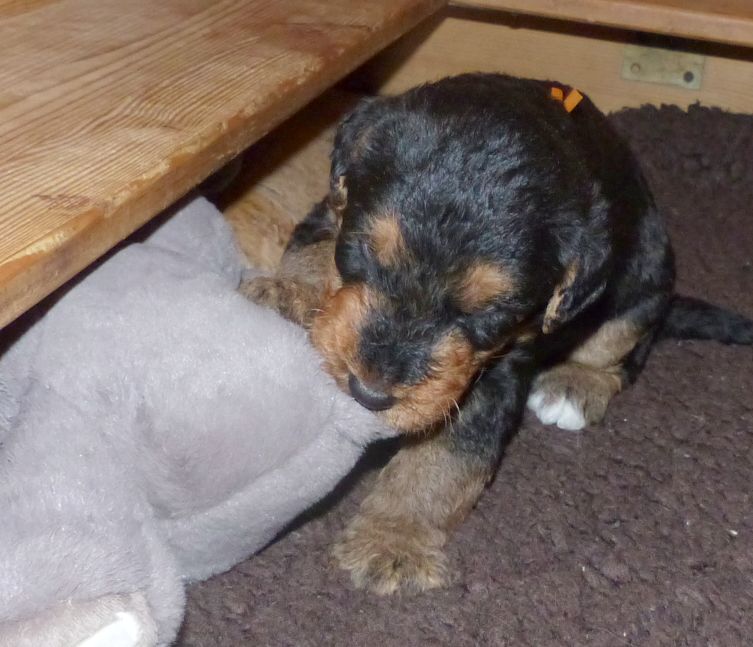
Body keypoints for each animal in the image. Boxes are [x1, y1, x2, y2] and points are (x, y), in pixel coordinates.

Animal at [241, 73, 753, 595]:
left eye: (493, 309)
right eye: (365, 250)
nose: (370, 393)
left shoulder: (493, 372)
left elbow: (443, 460)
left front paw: (392, 541)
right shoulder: (334, 206)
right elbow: (315, 247)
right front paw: (289, 294)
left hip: (647, 271)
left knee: (621, 346)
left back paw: (576, 384)